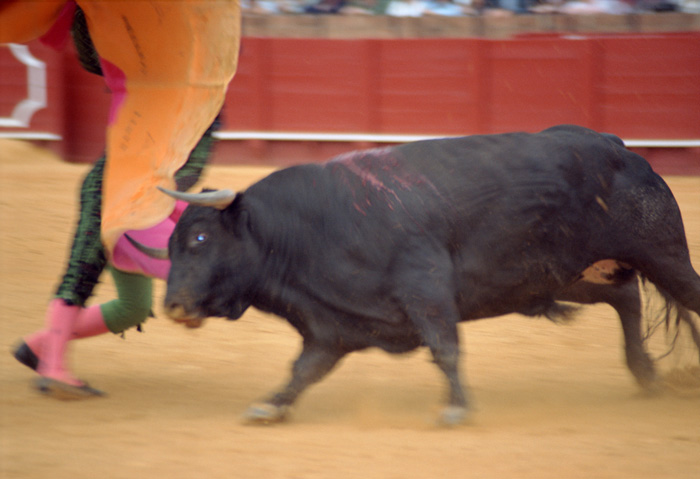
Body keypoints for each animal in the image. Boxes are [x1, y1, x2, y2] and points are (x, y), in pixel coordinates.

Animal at [148, 125, 700, 426]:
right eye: (171, 246)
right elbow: (303, 370)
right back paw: (645, 375)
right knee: (625, 297)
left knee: (673, 293)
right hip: (567, 274)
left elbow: (444, 347)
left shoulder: (425, 285)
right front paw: (269, 407)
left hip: (664, 254)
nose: (171, 307)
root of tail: (615, 146)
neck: (308, 227)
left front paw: (455, 410)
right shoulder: (331, 327)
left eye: (200, 239)